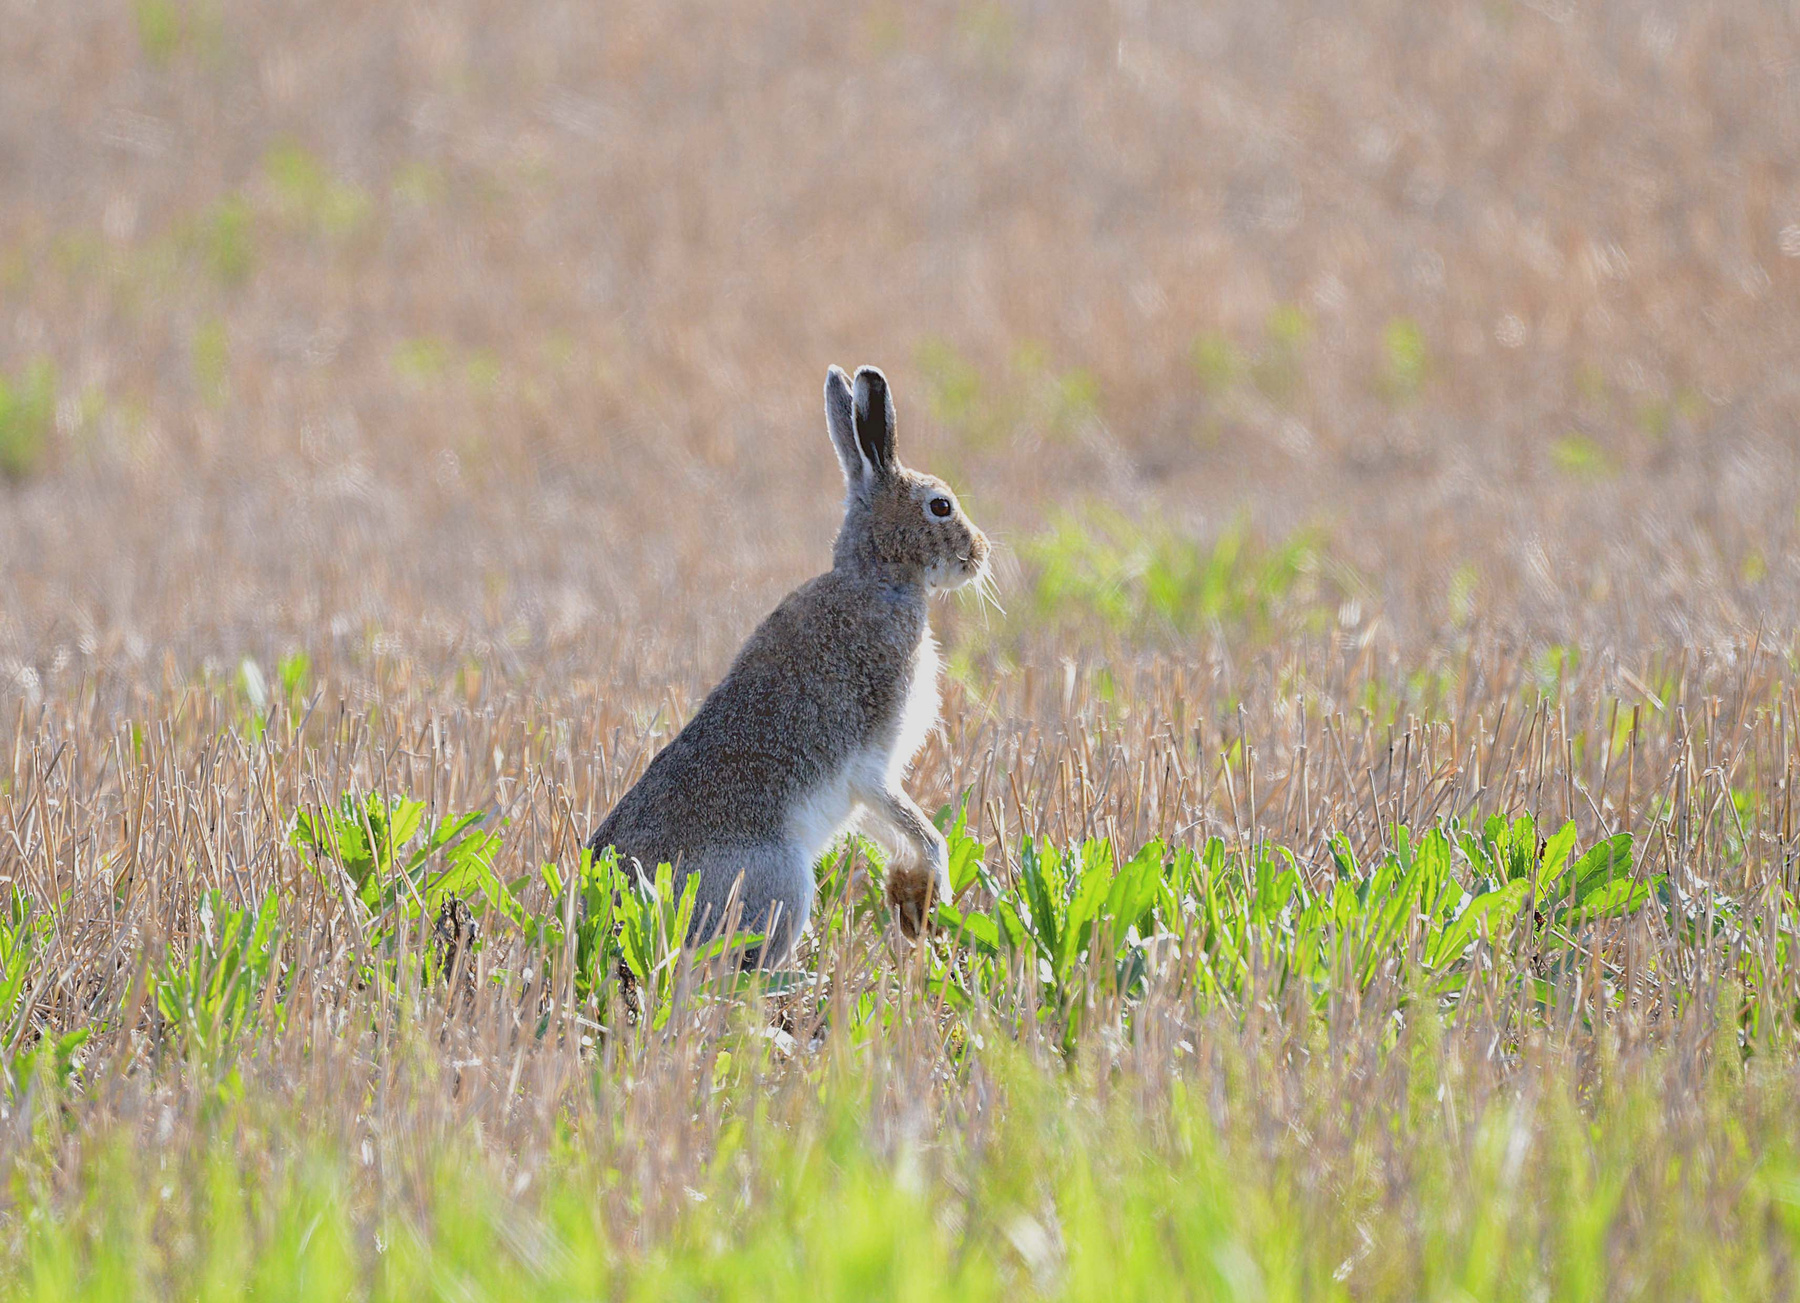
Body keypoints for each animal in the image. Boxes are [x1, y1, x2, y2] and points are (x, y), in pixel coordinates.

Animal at [587, 364, 991, 965]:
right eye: (940, 505)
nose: (980, 553)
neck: (874, 575)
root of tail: (609, 917)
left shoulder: (865, 791)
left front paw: (910, 898)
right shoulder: (871, 764)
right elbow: (919, 827)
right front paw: (934, 889)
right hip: (783, 884)